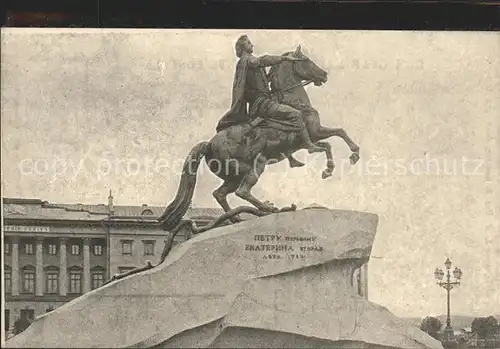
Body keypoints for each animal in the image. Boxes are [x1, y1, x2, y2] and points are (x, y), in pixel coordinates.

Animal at [159, 44, 360, 228]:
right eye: (306, 60)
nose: (324, 75)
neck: (293, 101)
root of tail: (209, 145)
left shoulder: (311, 136)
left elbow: (335, 137)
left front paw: (341, 161)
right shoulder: (313, 133)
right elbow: (331, 140)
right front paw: (339, 163)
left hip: (232, 176)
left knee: (220, 193)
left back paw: (236, 219)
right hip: (253, 165)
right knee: (242, 191)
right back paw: (267, 208)